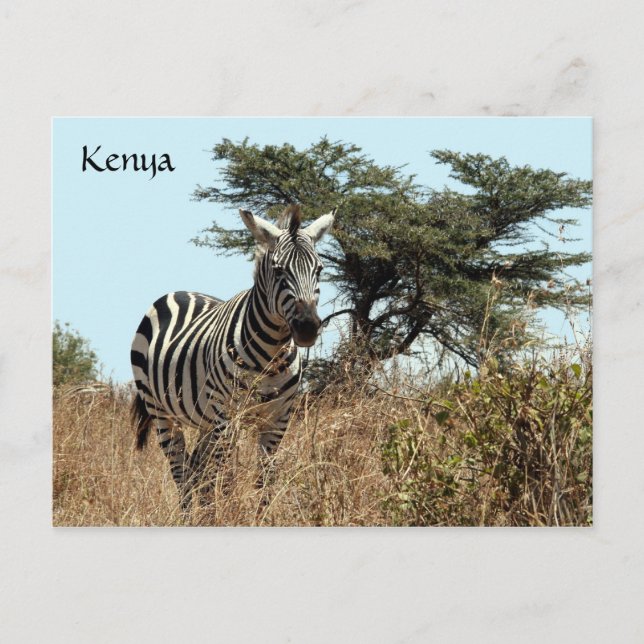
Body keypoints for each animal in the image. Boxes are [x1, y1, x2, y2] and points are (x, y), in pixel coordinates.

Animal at [130, 204, 335, 508]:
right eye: (278, 271)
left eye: (319, 269)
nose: (308, 326)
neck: (271, 356)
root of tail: (178, 292)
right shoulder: (228, 418)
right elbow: (226, 481)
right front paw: (227, 513)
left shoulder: (278, 420)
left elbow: (264, 481)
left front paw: (259, 515)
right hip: (161, 411)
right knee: (181, 472)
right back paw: (189, 513)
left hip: (205, 419)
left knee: (196, 470)